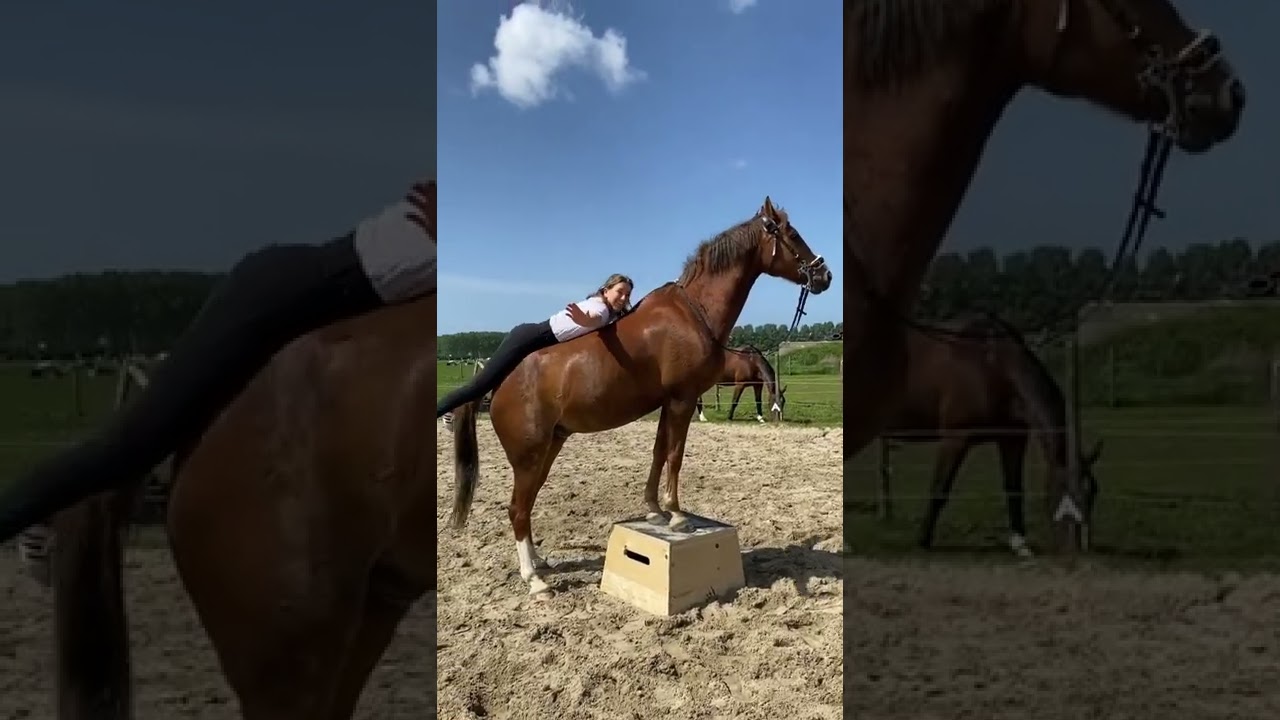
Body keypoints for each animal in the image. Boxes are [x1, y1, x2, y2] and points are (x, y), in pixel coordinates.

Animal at [449, 197, 832, 597]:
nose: (825, 276)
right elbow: (675, 455)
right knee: (517, 509)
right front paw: (676, 514)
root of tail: (498, 383)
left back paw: (539, 562)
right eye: (792, 234)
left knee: (528, 502)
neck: (694, 313)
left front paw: (654, 509)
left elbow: (659, 451)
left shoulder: (668, 403)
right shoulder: (682, 399)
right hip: (528, 456)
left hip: (548, 448)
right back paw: (534, 579)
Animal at [881, 315, 1103, 557]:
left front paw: (1020, 544)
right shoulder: (955, 439)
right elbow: (939, 489)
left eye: (1092, 495)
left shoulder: (1013, 439)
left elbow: (1014, 488)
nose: (1078, 548)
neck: (992, 365)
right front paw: (922, 541)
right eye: (1068, 492)